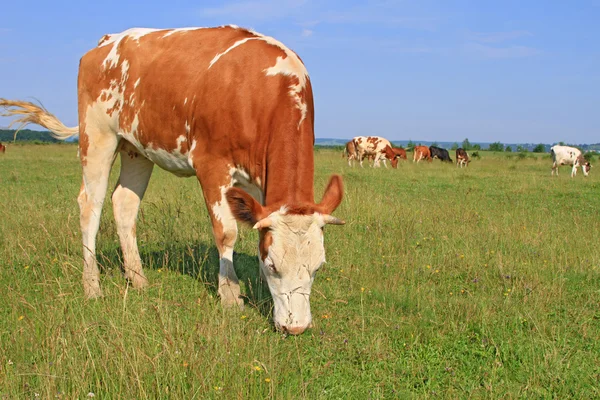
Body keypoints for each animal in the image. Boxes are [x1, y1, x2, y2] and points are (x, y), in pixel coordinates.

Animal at [1, 25, 346, 334]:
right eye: (274, 265)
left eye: (318, 267)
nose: (296, 327)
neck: (259, 92)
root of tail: (108, 40)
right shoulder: (212, 164)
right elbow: (227, 233)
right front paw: (230, 295)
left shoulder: (263, 185)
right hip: (97, 135)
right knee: (90, 205)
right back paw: (92, 285)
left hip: (135, 147)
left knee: (124, 203)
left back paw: (138, 278)